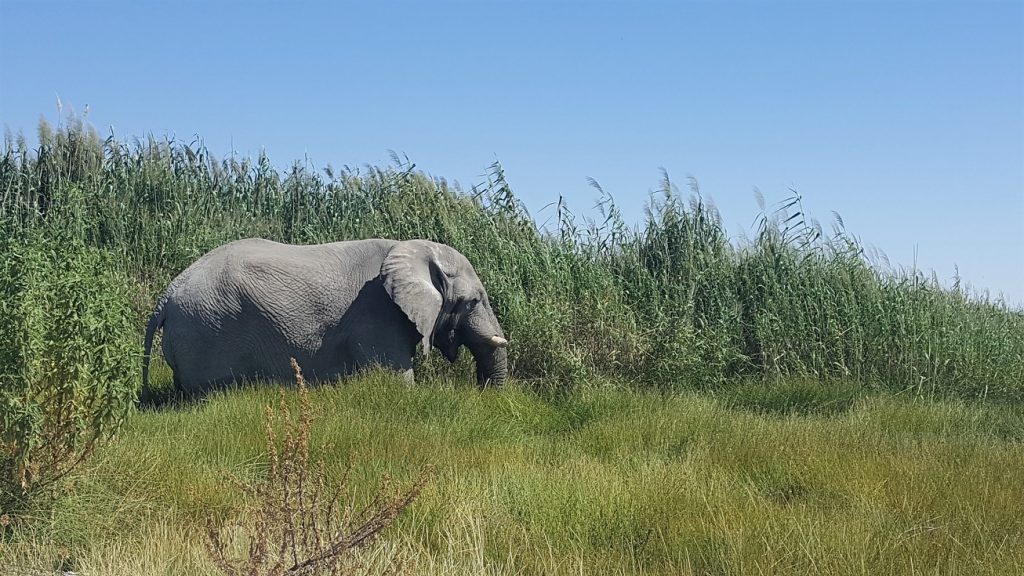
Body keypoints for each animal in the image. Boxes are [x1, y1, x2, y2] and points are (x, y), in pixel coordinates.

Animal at [142, 236, 509, 393]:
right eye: (473, 302)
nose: (481, 394)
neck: (412, 248)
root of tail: (167, 296)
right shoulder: (376, 315)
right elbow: (396, 380)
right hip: (207, 329)